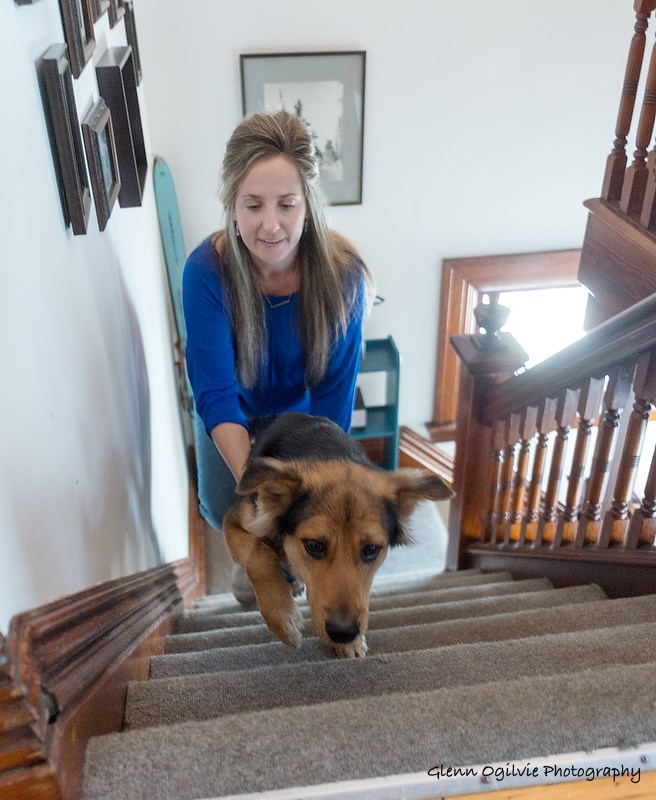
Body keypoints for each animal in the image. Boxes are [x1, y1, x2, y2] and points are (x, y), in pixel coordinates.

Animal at [223, 412, 454, 656]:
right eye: (313, 545)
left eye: (371, 549)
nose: (344, 633)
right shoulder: (234, 521)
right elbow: (259, 554)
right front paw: (283, 619)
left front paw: (350, 644)